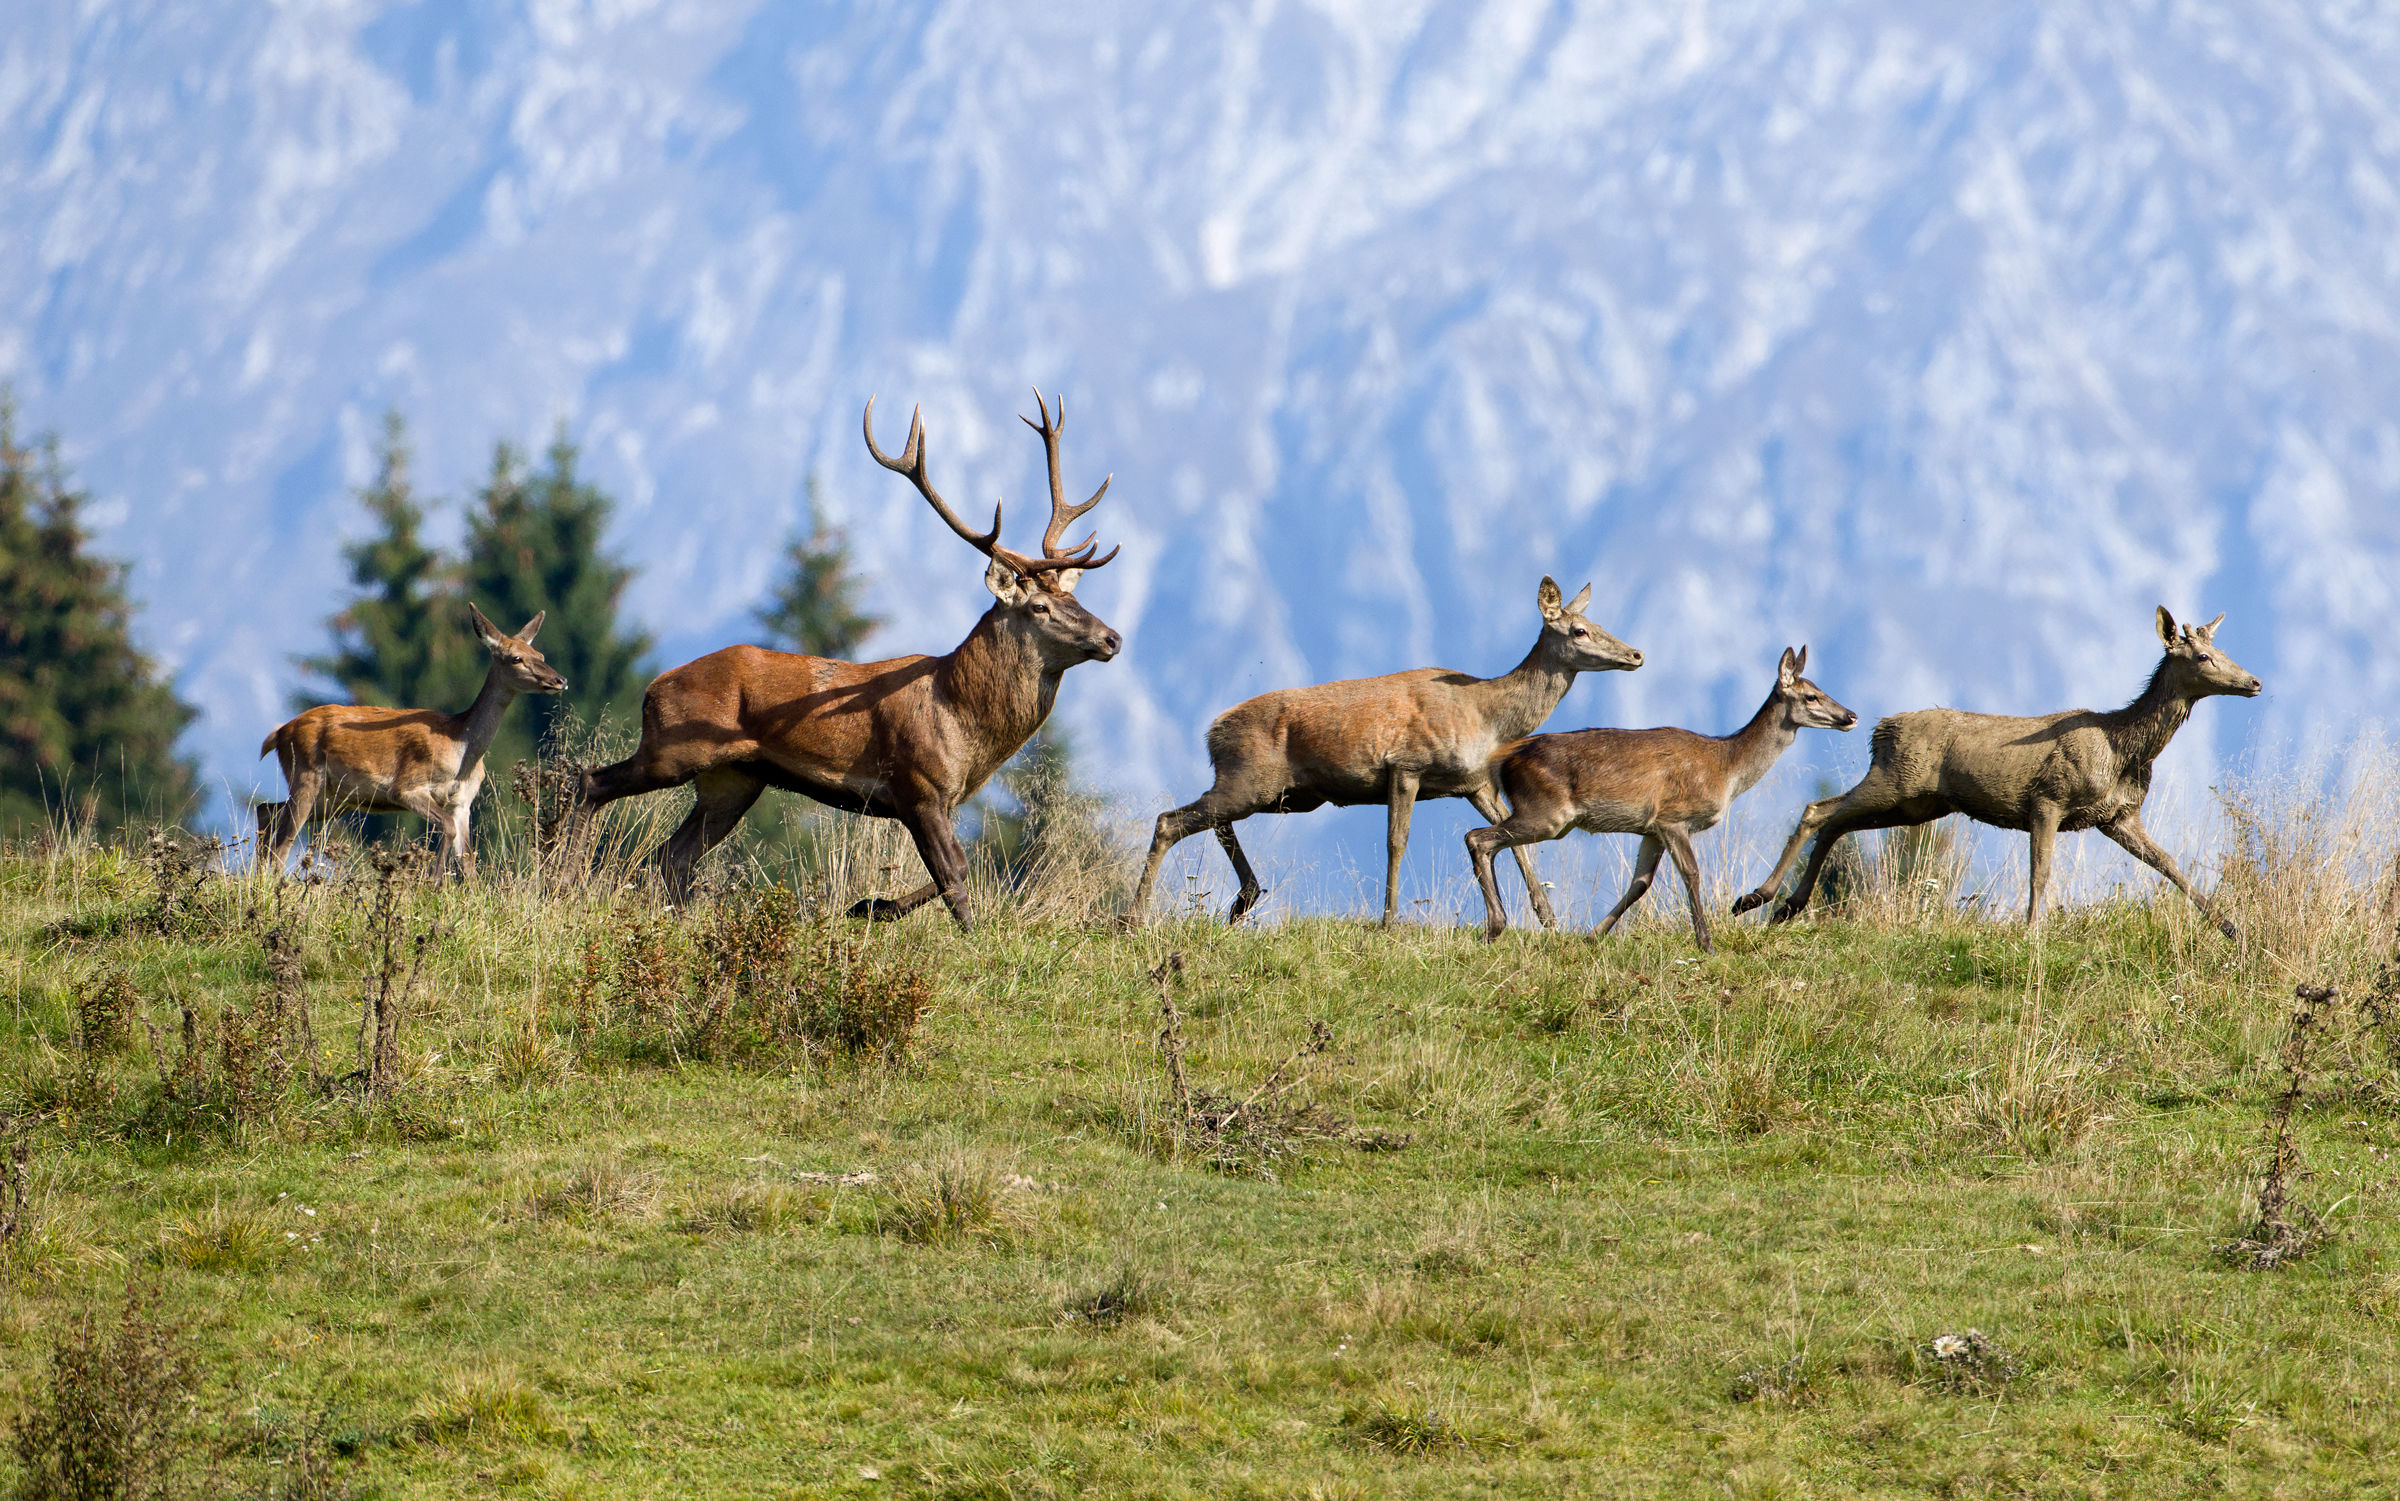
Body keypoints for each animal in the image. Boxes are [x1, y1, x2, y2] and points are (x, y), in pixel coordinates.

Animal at [256, 604, 567, 878]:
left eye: (539, 653)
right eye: (516, 658)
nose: (560, 680)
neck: (460, 746)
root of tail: (280, 733)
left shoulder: (463, 801)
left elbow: (468, 859)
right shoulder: (406, 787)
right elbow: (447, 828)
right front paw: (433, 882)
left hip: (334, 798)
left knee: (267, 811)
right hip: (306, 775)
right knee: (283, 840)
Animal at [554, 392, 1120, 926]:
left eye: (1075, 599)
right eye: (1041, 607)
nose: (1112, 638)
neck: (964, 722)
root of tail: (653, 687)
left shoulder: (938, 798)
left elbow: (951, 873)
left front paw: (870, 905)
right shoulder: (917, 785)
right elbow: (956, 874)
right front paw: (968, 938)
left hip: (732, 780)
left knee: (671, 856)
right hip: (673, 746)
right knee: (593, 783)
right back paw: (562, 879)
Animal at [1127, 577, 1643, 927]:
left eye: (1597, 623)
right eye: (1578, 630)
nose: (1636, 654)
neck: (1490, 718)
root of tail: (1211, 731)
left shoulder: (1474, 783)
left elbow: (1518, 844)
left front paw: (1549, 919)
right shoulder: (1406, 765)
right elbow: (1397, 841)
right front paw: (1389, 920)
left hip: (1276, 792)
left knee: (1209, 821)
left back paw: (1243, 901)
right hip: (1250, 779)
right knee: (1170, 820)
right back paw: (1135, 917)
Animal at [1466, 646, 1856, 953]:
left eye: (1821, 689)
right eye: (1810, 696)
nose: (1850, 715)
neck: (1726, 770)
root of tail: (1501, 761)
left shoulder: (1650, 830)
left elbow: (1640, 884)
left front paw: (1593, 935)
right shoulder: (1673, 817)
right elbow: (1692, 874)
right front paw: (1706, 943)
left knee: (1489, 842)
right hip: (1548, 812)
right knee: (1477, 837)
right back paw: (1494, 927)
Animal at [1732, 607, 2263, 936]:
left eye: (2225, 651)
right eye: (2203, 656)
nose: (2255, 681)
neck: (2122, 751)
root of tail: (1880, 730)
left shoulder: (2117, 817)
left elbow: (2172, 865)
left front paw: (2232, 927)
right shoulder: (2048, 799)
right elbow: (2040, 872)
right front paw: (2033, 929)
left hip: (1916, 804)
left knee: (1836, 822)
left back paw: (1789, 905)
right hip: (1894, 780)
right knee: (1817, 810)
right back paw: (1757, 897)